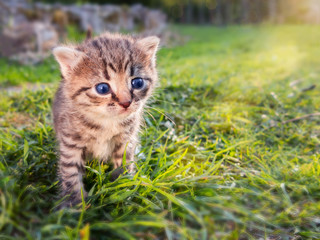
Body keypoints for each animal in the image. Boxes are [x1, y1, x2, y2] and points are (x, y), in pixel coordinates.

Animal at [52, 32, 160, 207]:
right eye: (102, 88)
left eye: (137, 82)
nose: (126, 103)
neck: (106, 121)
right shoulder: (70, 143)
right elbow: (70, 171)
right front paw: (74, 203)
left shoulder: (126, 140)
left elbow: (125, 164)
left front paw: (124, 189)